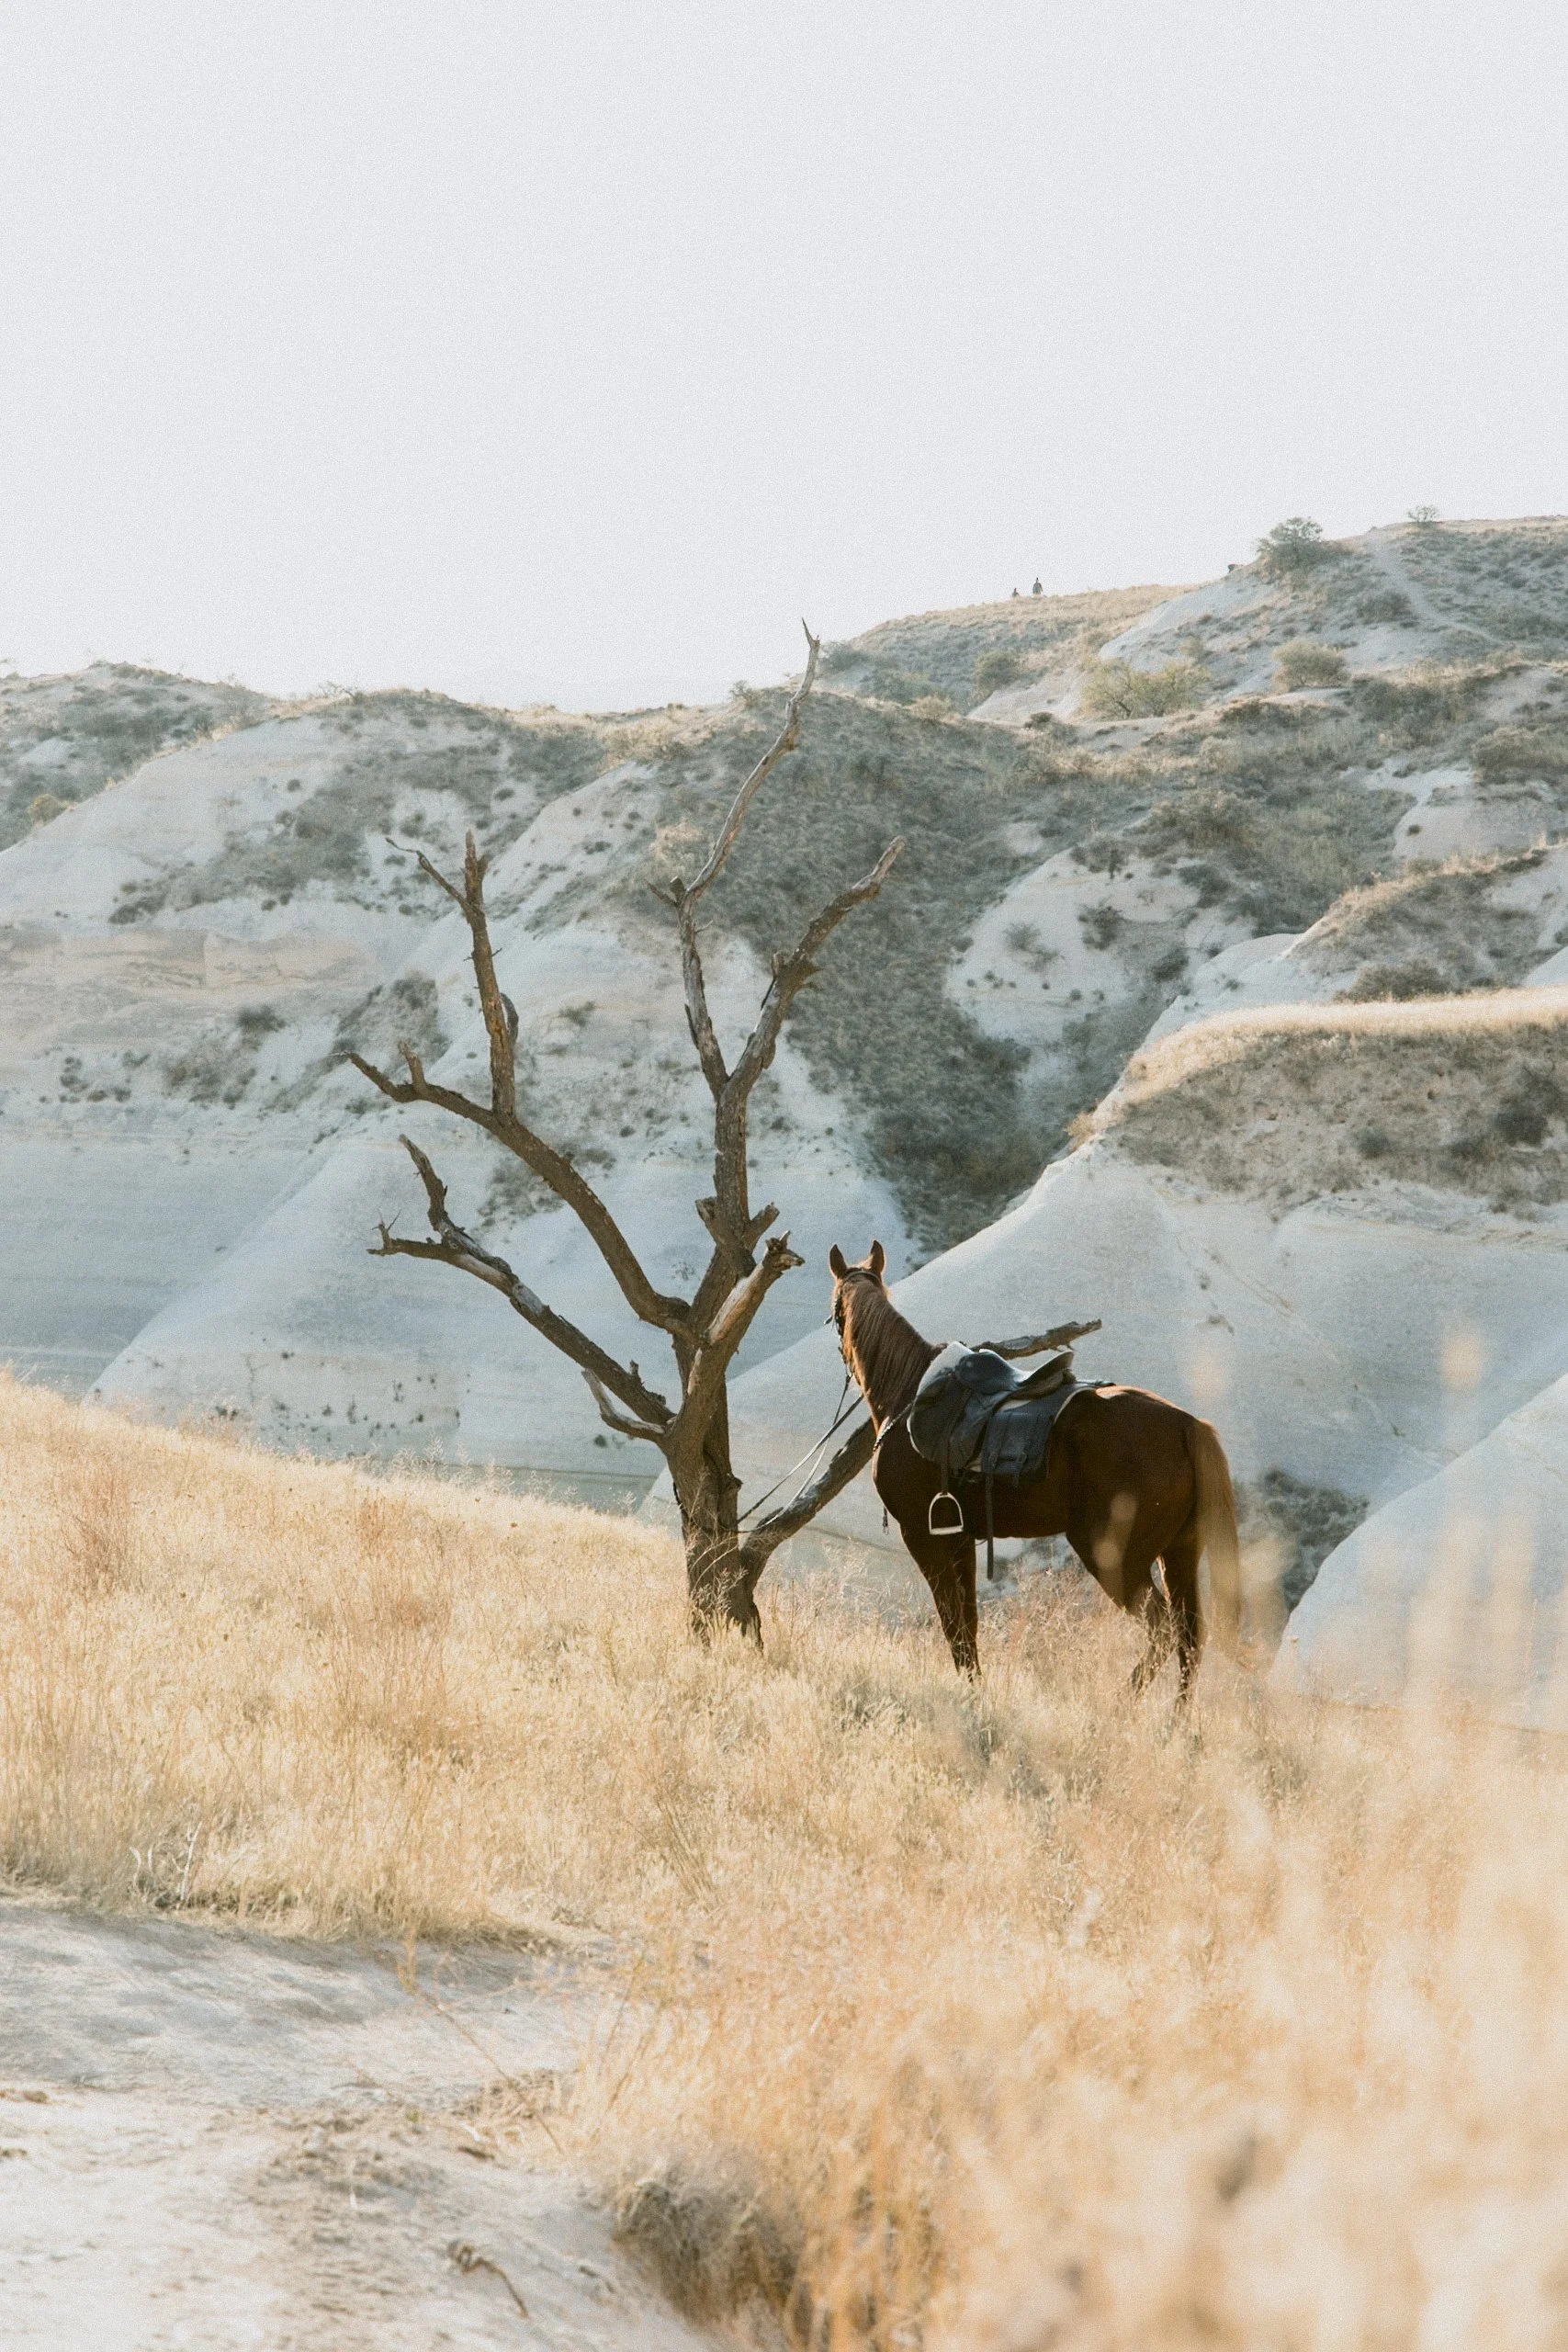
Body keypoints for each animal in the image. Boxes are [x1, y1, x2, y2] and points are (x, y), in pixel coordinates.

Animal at [828, 1241, 1245, 1691]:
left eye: (835, 1312)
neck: (910, 1394)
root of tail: (1188, 1426)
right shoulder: (960, 1540)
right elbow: (968, 1627)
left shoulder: (923, 1537)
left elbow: (953, 1625)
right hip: (1180, 1551)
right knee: (1189, 1638)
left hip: (1117, 1559)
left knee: (1163, 1630)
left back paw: (1121, 1701)